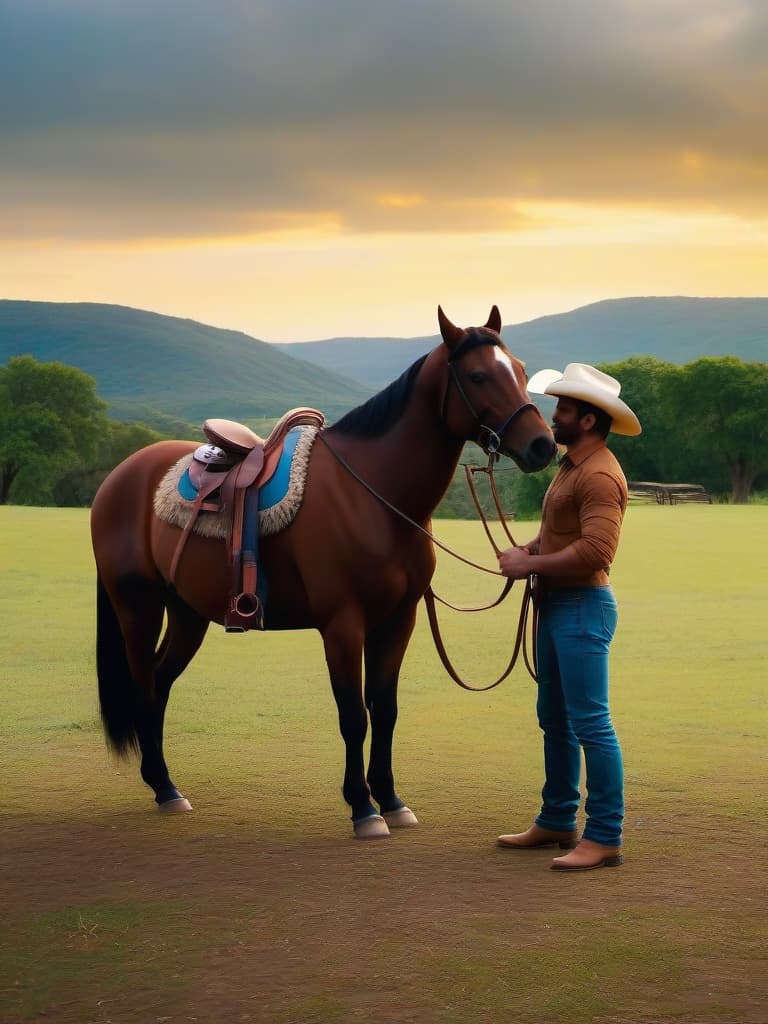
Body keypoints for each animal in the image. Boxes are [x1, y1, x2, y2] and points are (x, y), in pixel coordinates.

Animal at [93, 305, 557, 839]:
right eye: (479, 376)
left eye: (520, 370)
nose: (543, 446)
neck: (375, 493)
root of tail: (120, 476)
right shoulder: (342, 625)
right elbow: (353, 715)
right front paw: (363, 808)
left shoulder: (398, 622)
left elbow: (386, 710)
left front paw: (391, 799)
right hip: (138, 608)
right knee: (144, 685)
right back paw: (164, 789)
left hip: (187, 613)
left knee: (160, 684)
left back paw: (166, 786)